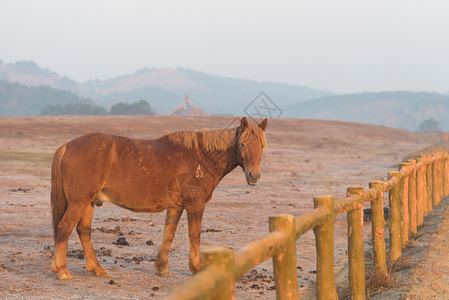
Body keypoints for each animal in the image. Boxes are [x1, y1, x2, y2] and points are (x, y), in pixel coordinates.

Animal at [50, 116, 266, 278]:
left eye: (262, 146)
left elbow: (168, 234)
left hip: (88, 203)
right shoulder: (195, 205)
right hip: (79, 202)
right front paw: (196, 269)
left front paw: (162, 268)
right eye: (243, 144)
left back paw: (96, 269)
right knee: (65, 227)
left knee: (83, 231)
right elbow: (194, 235)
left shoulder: (176, 207)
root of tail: (67, 146)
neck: (201, 157)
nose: (253, 175)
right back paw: (62, 271)